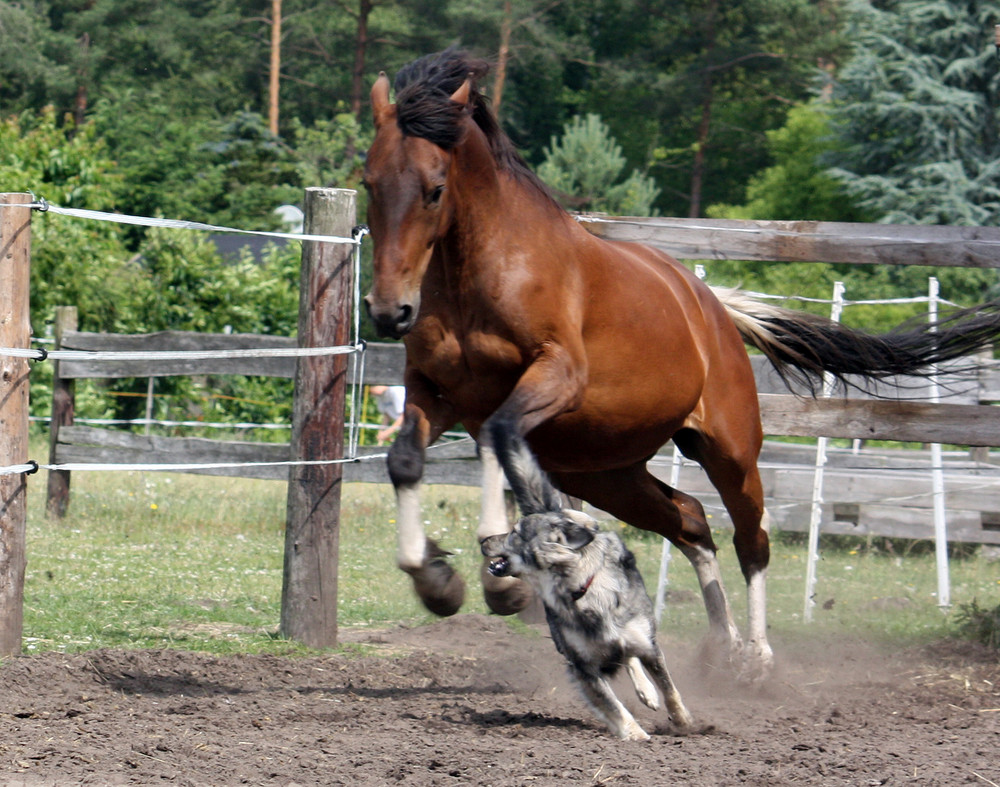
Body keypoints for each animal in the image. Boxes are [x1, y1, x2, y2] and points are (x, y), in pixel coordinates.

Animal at [364, 49, 1000, 680]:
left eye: (435, 188)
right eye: (369, 182)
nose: (389, 311)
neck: (485, 269)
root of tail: (714, 307)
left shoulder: (551, 378)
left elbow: (497, 438)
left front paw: (501, 584)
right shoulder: (434, 390)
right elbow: (405, 461)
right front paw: (436, 581)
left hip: (729, 452)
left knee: (750, 540)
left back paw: (757, 657)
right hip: (603, 474)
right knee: (691, 520)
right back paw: (721, 646)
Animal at [480, 428, 692, 740]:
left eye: (515, 532)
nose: (483, 541)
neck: (582, 589)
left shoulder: (648, 646)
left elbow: (670, 689)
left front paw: (683, 721)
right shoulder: (582, 666)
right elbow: (613, 705)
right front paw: (635, 734)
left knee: (631, 656)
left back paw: (647, 692)